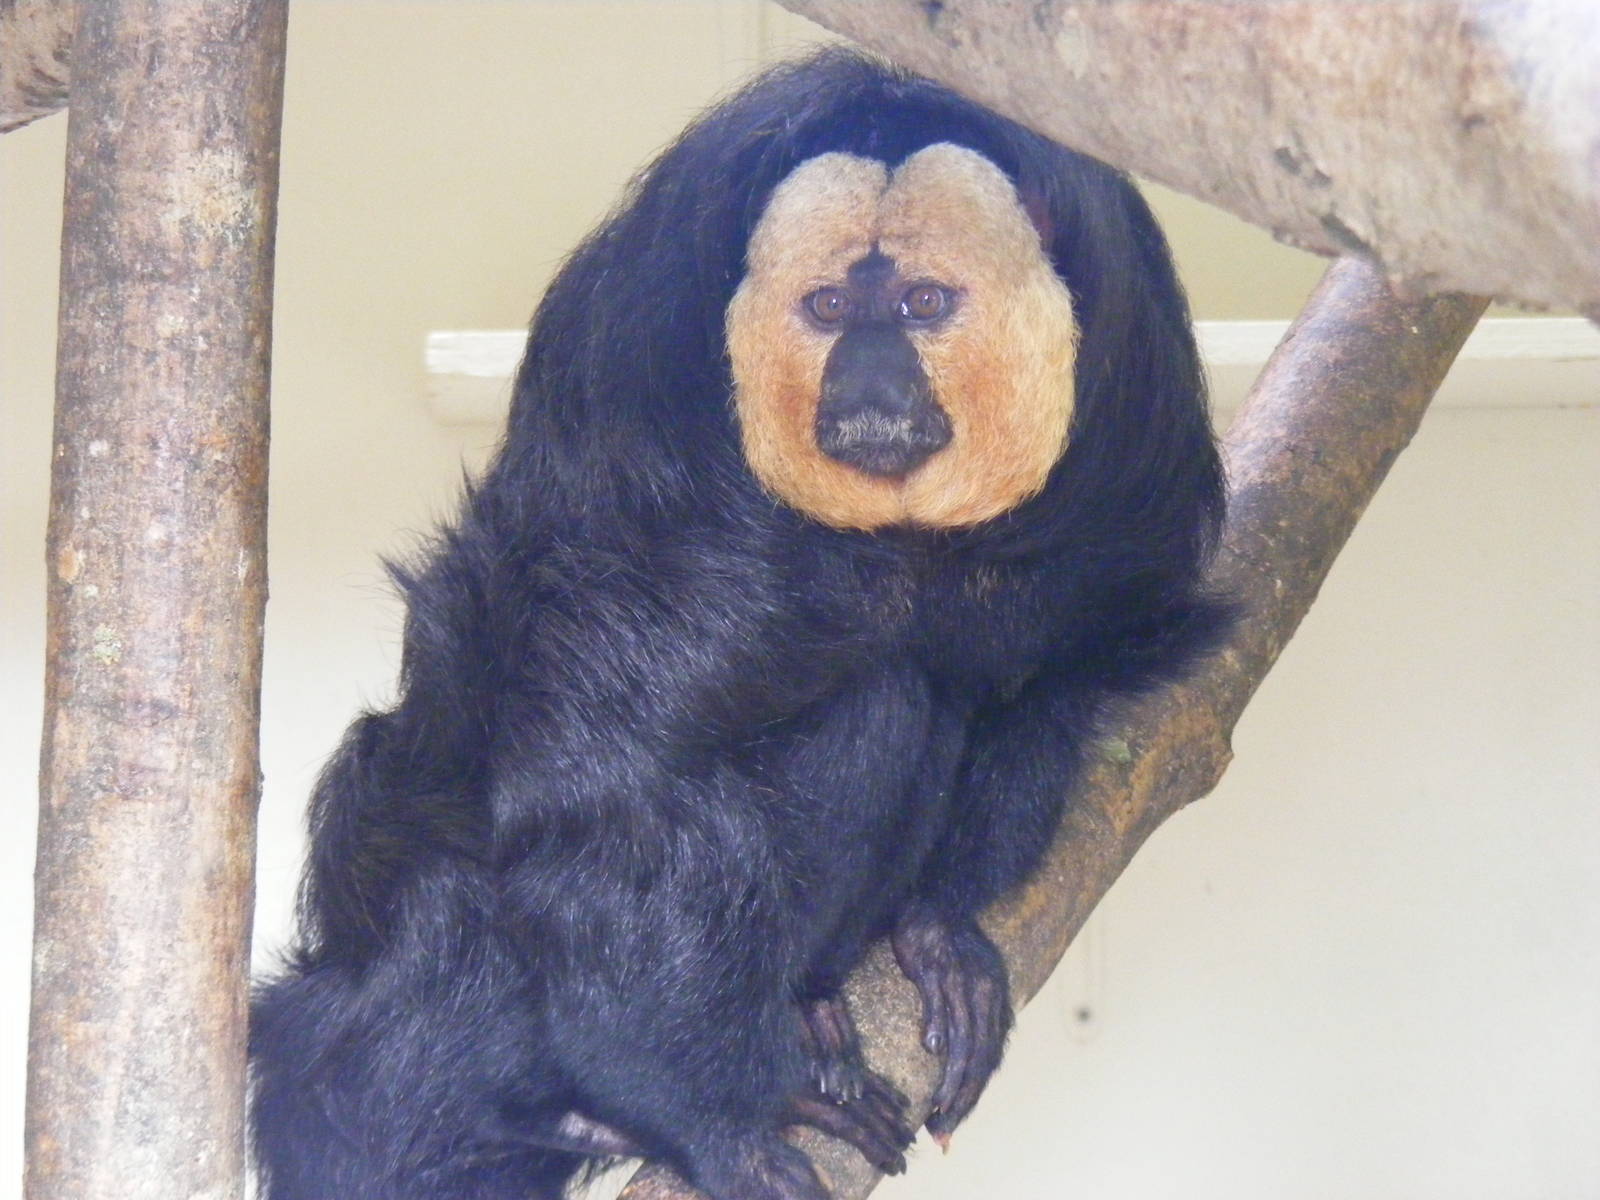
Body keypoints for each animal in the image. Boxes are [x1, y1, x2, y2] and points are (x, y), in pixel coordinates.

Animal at [249, 49, 1229, 1200]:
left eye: (922, 303)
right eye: (826, 307)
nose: (869, 382)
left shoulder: (1127, 437)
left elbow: (1040, 685)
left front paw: (938, 932)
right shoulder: (653, 435)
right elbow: (608, 786)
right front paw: (708, 1121)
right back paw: (541, 1114)